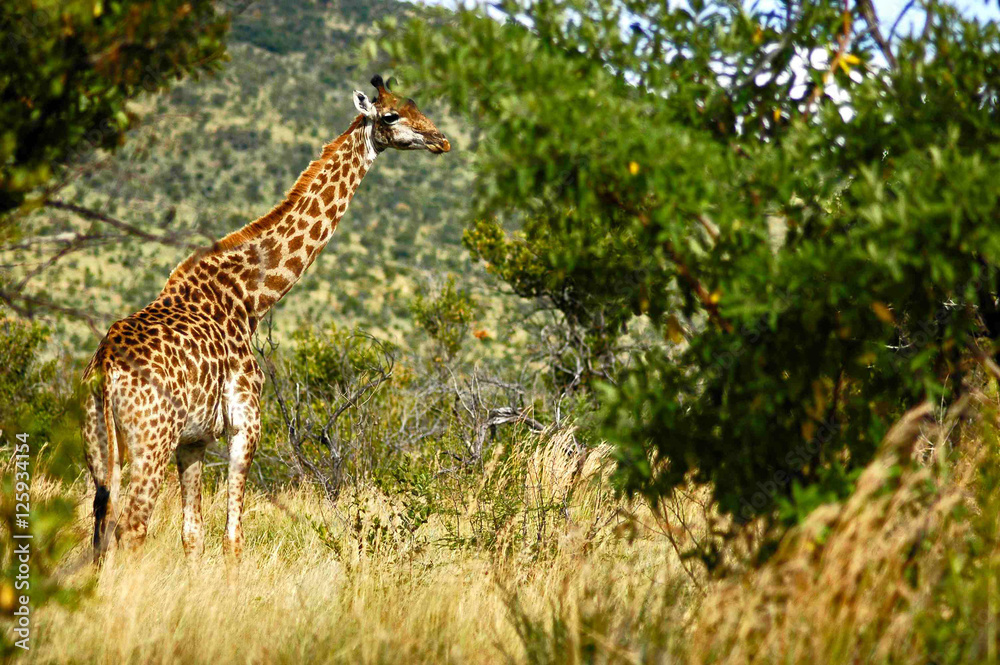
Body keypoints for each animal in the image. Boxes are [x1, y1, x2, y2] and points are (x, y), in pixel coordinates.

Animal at [81, 75, 450, 562]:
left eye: (415, 104)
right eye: (390, 115)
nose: (441, 140)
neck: (249, 299)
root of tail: (105, 369)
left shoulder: (194, 440)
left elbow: (193, 535)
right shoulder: (246, 422)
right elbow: (233, 539)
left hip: (100, 446)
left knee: (100, 525)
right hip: (150, 441)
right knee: (132, 528)